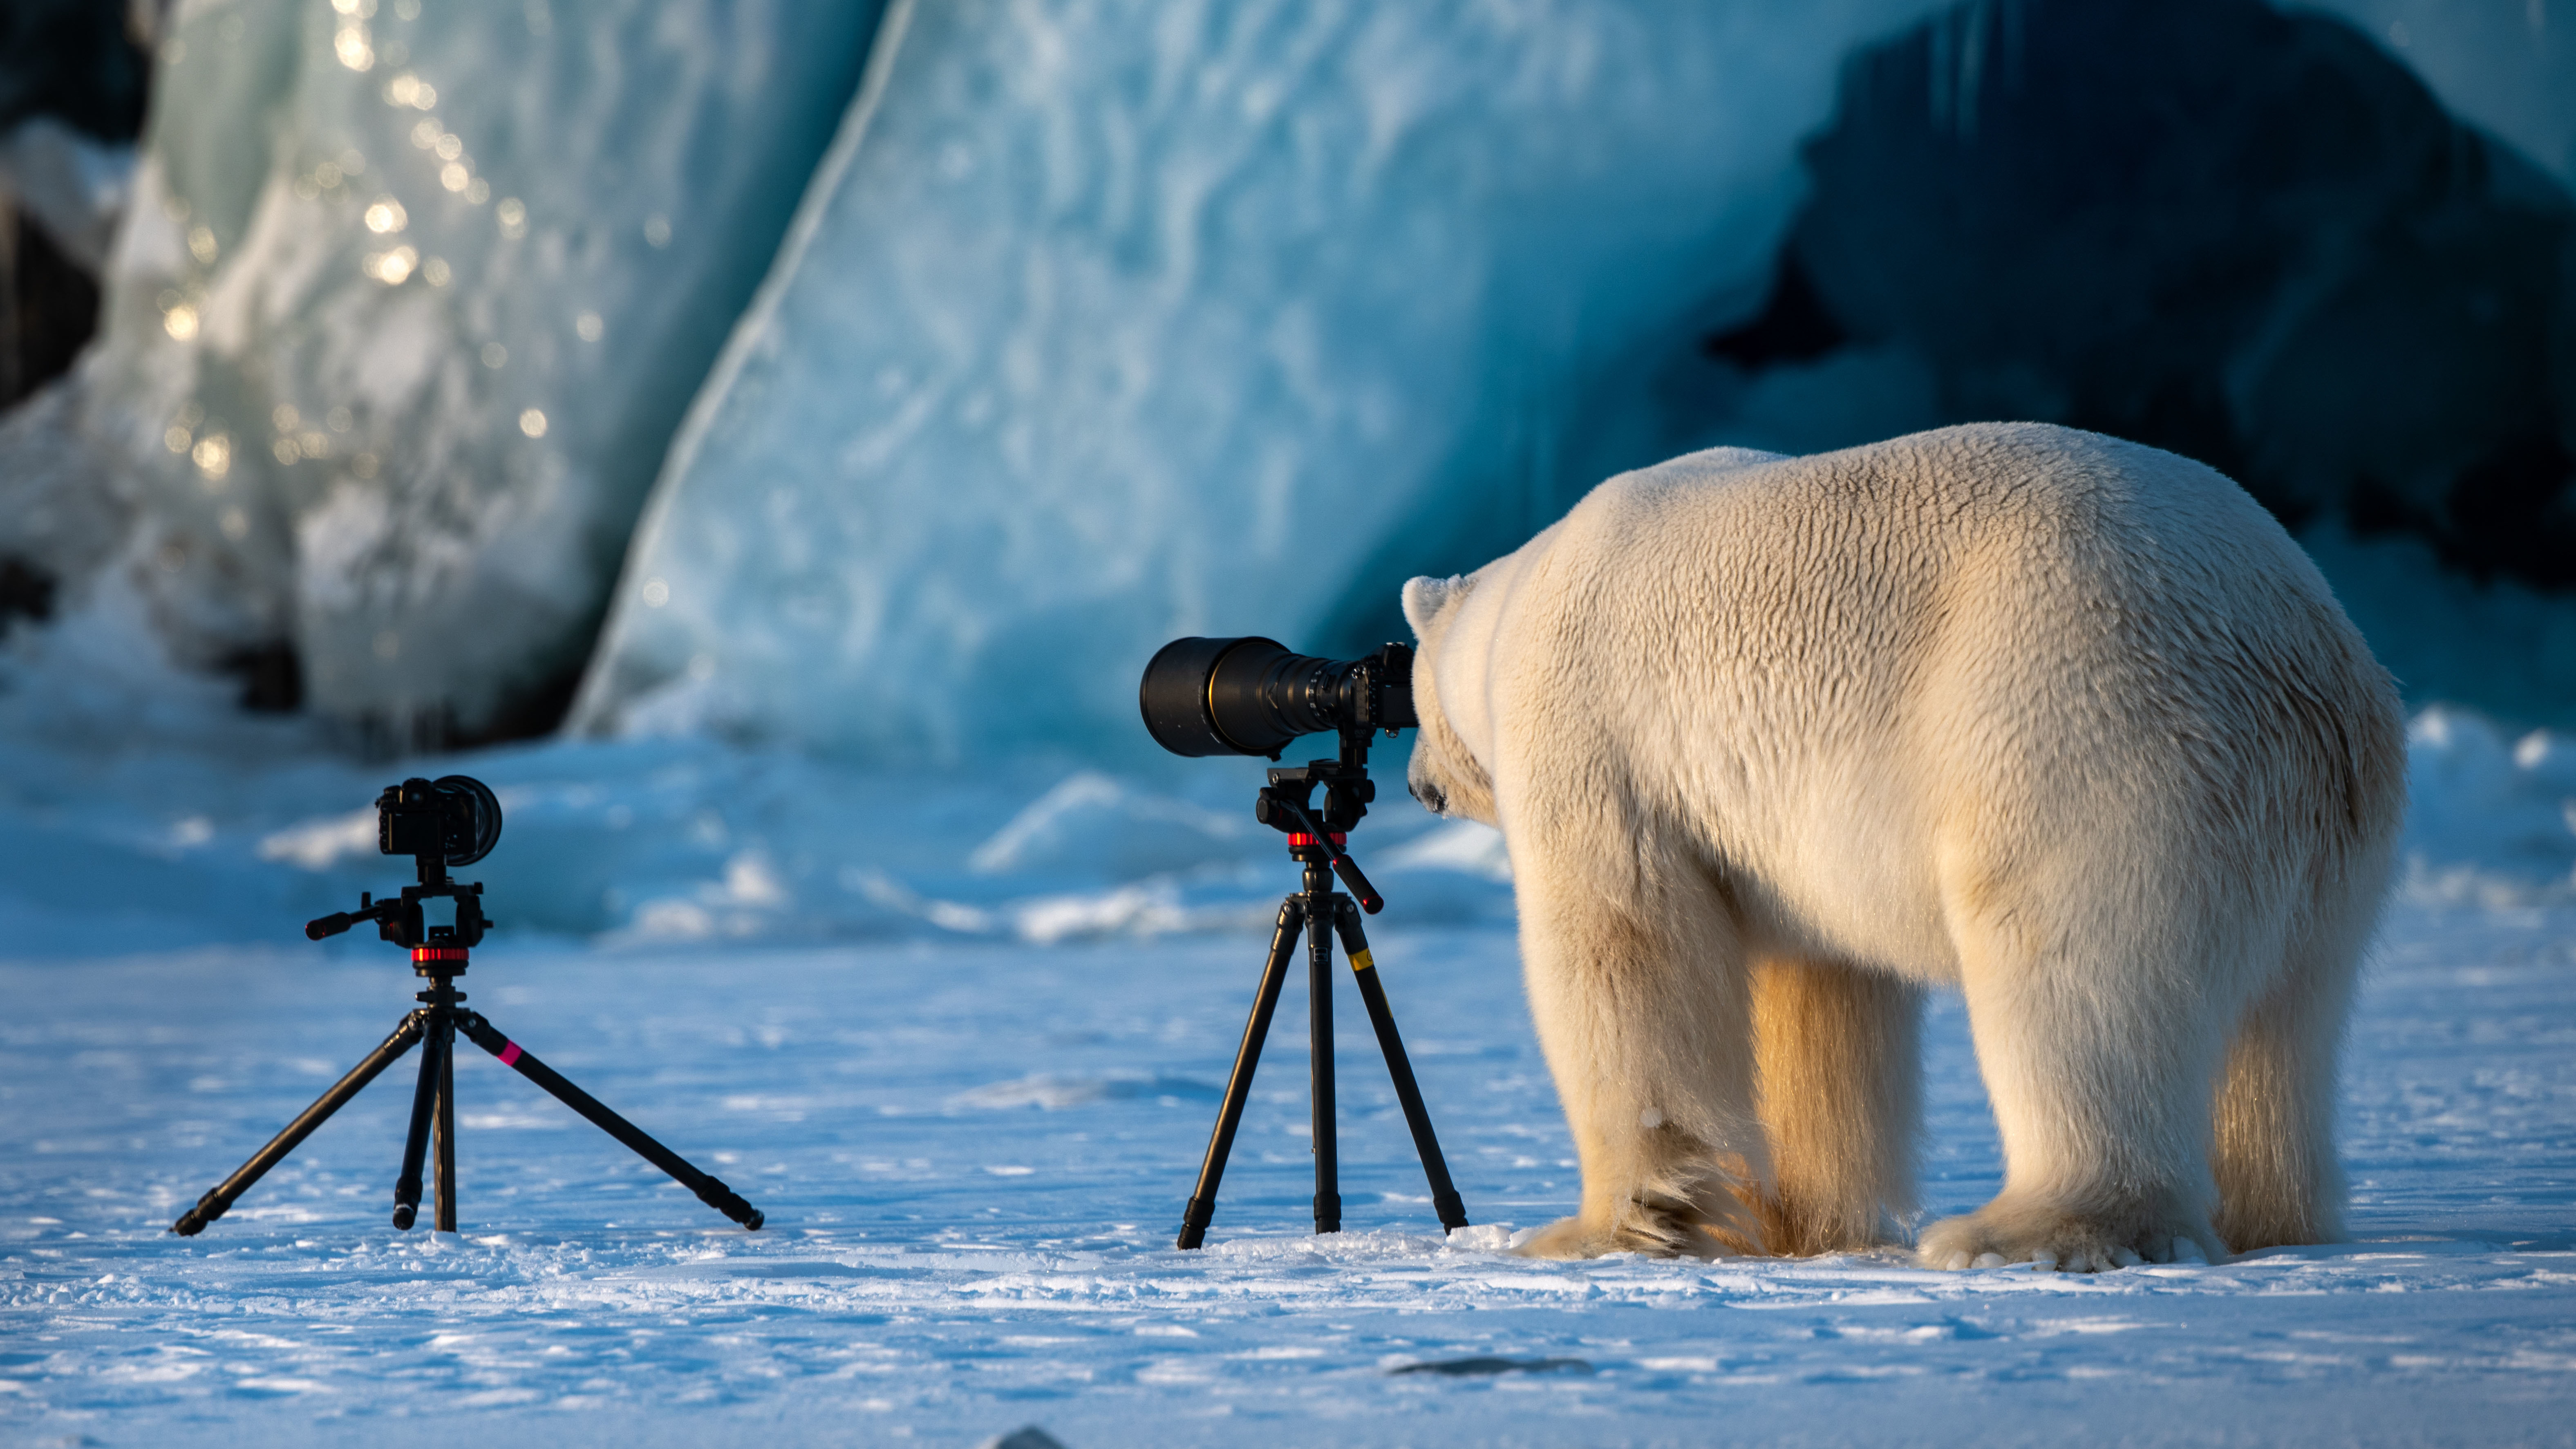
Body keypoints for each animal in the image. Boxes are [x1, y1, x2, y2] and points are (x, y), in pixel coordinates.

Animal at [1401, 422, 2405, 1271]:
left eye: (1406, 698)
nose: (1416, 784)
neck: (1517, 604)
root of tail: (2298, 652)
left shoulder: (1594, 737)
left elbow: (1622, 947)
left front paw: (1606, 1229)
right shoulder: (1785, 839)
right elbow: (1820, 994)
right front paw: (1797, 1224)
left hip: (2086, 732)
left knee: (2075, 979)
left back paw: (2021, 1230)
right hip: (2322, 836)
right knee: (2287, 1022)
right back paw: (2273, 1218)